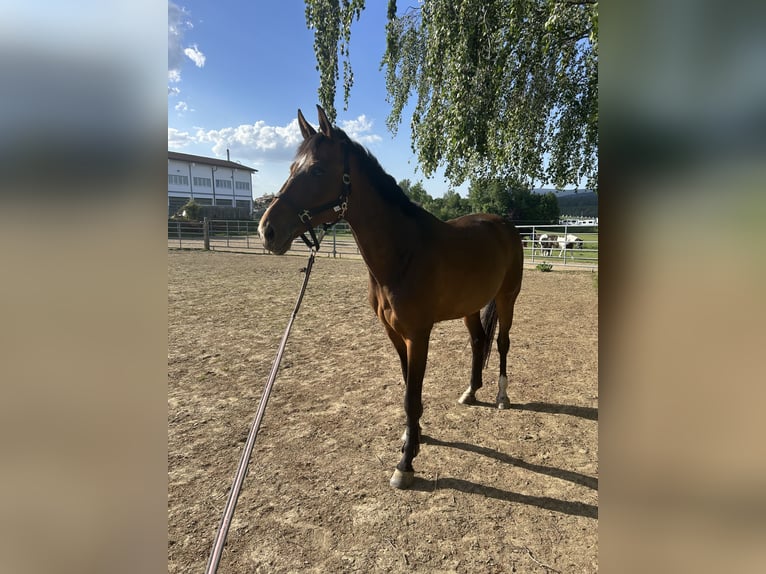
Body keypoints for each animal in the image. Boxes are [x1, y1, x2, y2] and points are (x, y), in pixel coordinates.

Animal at [259, 106, 524, 489]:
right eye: (292, 167)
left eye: (318, 169)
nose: (267, 231)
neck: (403, 254)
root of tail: (505, 225)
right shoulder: (394, 335)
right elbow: (405, 390)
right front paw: (413, 437)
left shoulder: (418, 336)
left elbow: (412, 396)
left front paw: (406, 462)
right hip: (471, 307)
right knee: (478, 342)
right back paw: (471, 391)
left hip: (507, 298)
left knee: (501, 343)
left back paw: (502, 397)